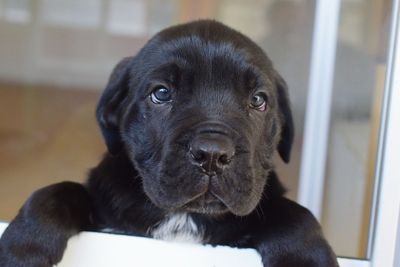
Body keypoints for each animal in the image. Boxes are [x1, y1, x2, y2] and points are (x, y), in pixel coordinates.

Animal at [0, 19, 338, 266]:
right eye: (161, 93)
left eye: (258, 100)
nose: (212, 154)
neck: (185, 217)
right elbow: (55, 192)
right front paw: (21, 248)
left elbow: (296, 214)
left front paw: (305, 259)